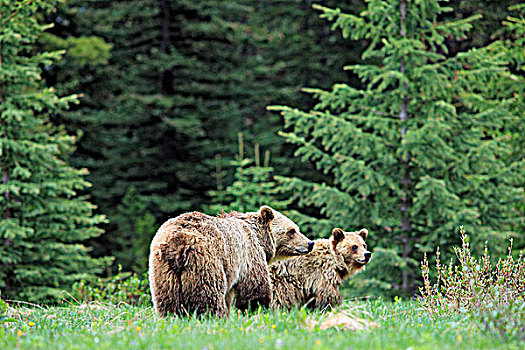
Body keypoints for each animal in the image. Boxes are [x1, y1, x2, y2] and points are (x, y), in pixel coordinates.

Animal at [148, 205, 312, 318]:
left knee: (168, 301)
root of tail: (178, 244)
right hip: (205, 263)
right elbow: (255, 289)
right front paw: (257, 309)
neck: (260, 238)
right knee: (209, 297)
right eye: (292, 231)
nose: (310, 243)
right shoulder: (249, 256)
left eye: (296, 229)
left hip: (163, 272)